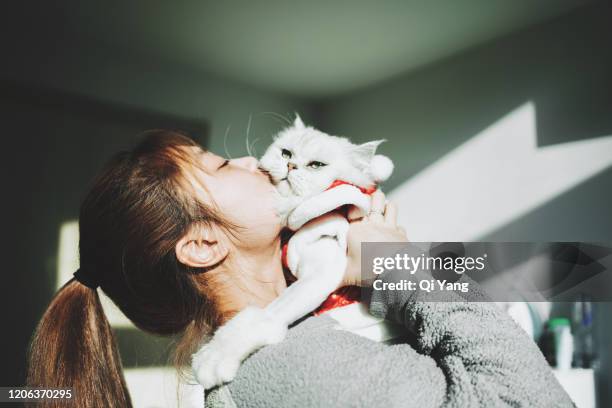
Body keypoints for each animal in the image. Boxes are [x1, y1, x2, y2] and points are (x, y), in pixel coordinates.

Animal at [191, 115, 392, 388]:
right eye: (286, 153)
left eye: (316, 165)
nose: (291, 165)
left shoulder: (321, 269)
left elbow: (263, 317)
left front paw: (213, 358)